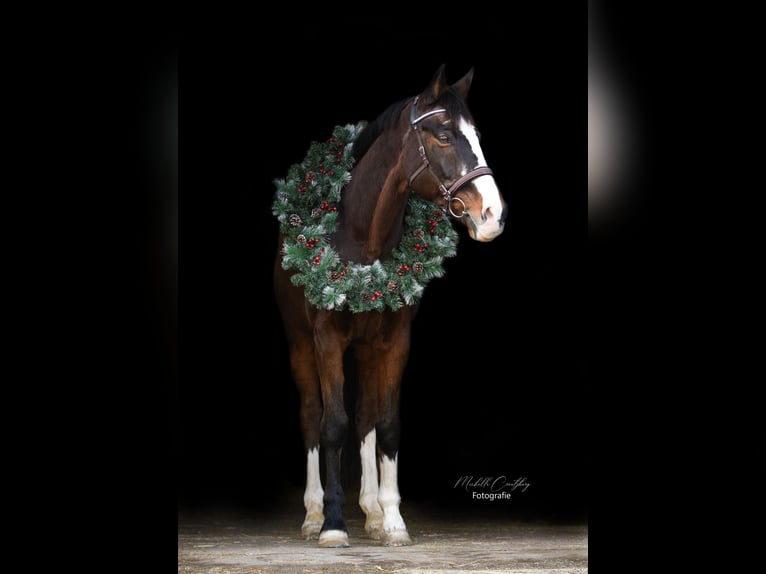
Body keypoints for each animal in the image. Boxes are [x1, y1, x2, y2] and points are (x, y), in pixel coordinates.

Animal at [272, 64, 507, 547]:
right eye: (443, 135)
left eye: (476, 135)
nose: (493, 215)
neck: (363, 240)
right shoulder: (326, 340)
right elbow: (332, 424)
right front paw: (334, 524)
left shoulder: (396, 340)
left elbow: (386, 423)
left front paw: (393, 519)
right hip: (301, 344)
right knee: (312, 416)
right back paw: (313, 513)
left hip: (365, 348)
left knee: (365, 420)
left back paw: (373, 514)